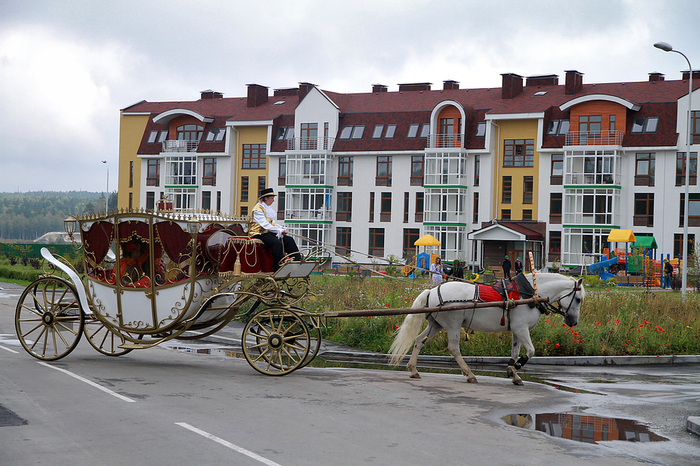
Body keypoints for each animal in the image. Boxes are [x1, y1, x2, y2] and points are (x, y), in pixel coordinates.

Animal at [388, 274, 584, 386]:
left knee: (419, 341)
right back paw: (469, 374)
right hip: (452, 325)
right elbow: (530, 351)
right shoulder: (522, 329)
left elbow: (515, 351)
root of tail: (432, 291)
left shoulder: (516, 330)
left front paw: (513, 373)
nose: (573, 322)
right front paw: (518, 366)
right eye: (579, 299)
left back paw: (413, 369)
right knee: (454, 348)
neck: (529, 294)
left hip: (436, 324)